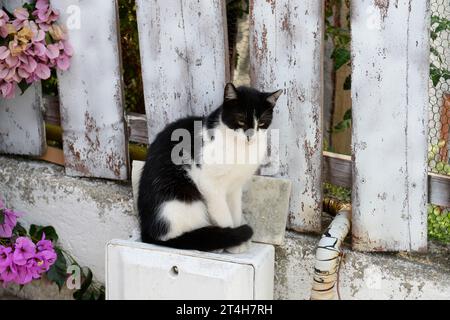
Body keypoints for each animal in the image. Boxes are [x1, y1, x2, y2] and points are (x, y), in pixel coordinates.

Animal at [139, 84, 284, 254]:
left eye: (261, 123)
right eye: (241, 120)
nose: (250, 136)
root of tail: (147, 232)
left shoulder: (235, 188)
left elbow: (235, 212)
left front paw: (240, 238)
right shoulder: (210, 185)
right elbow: (224, 215)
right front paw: (235, 243)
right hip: (183, 201)